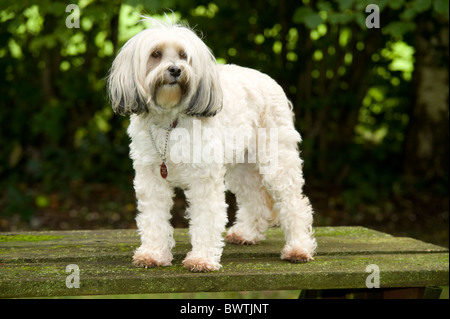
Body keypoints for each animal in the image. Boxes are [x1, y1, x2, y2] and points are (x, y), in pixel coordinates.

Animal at [107, 19, 316, 272]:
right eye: (155, 54)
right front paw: (153, 254)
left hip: (276, 163)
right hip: (242, 166)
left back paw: (299, 248)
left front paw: (202, 259)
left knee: (295, 203)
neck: (170, 123)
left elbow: (206, 219)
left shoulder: (204, 178)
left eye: (183, 55)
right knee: (255, 199)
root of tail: (270, 80)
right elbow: (153, 219)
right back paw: (246, 233)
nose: (175, 70)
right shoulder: (151, 178)